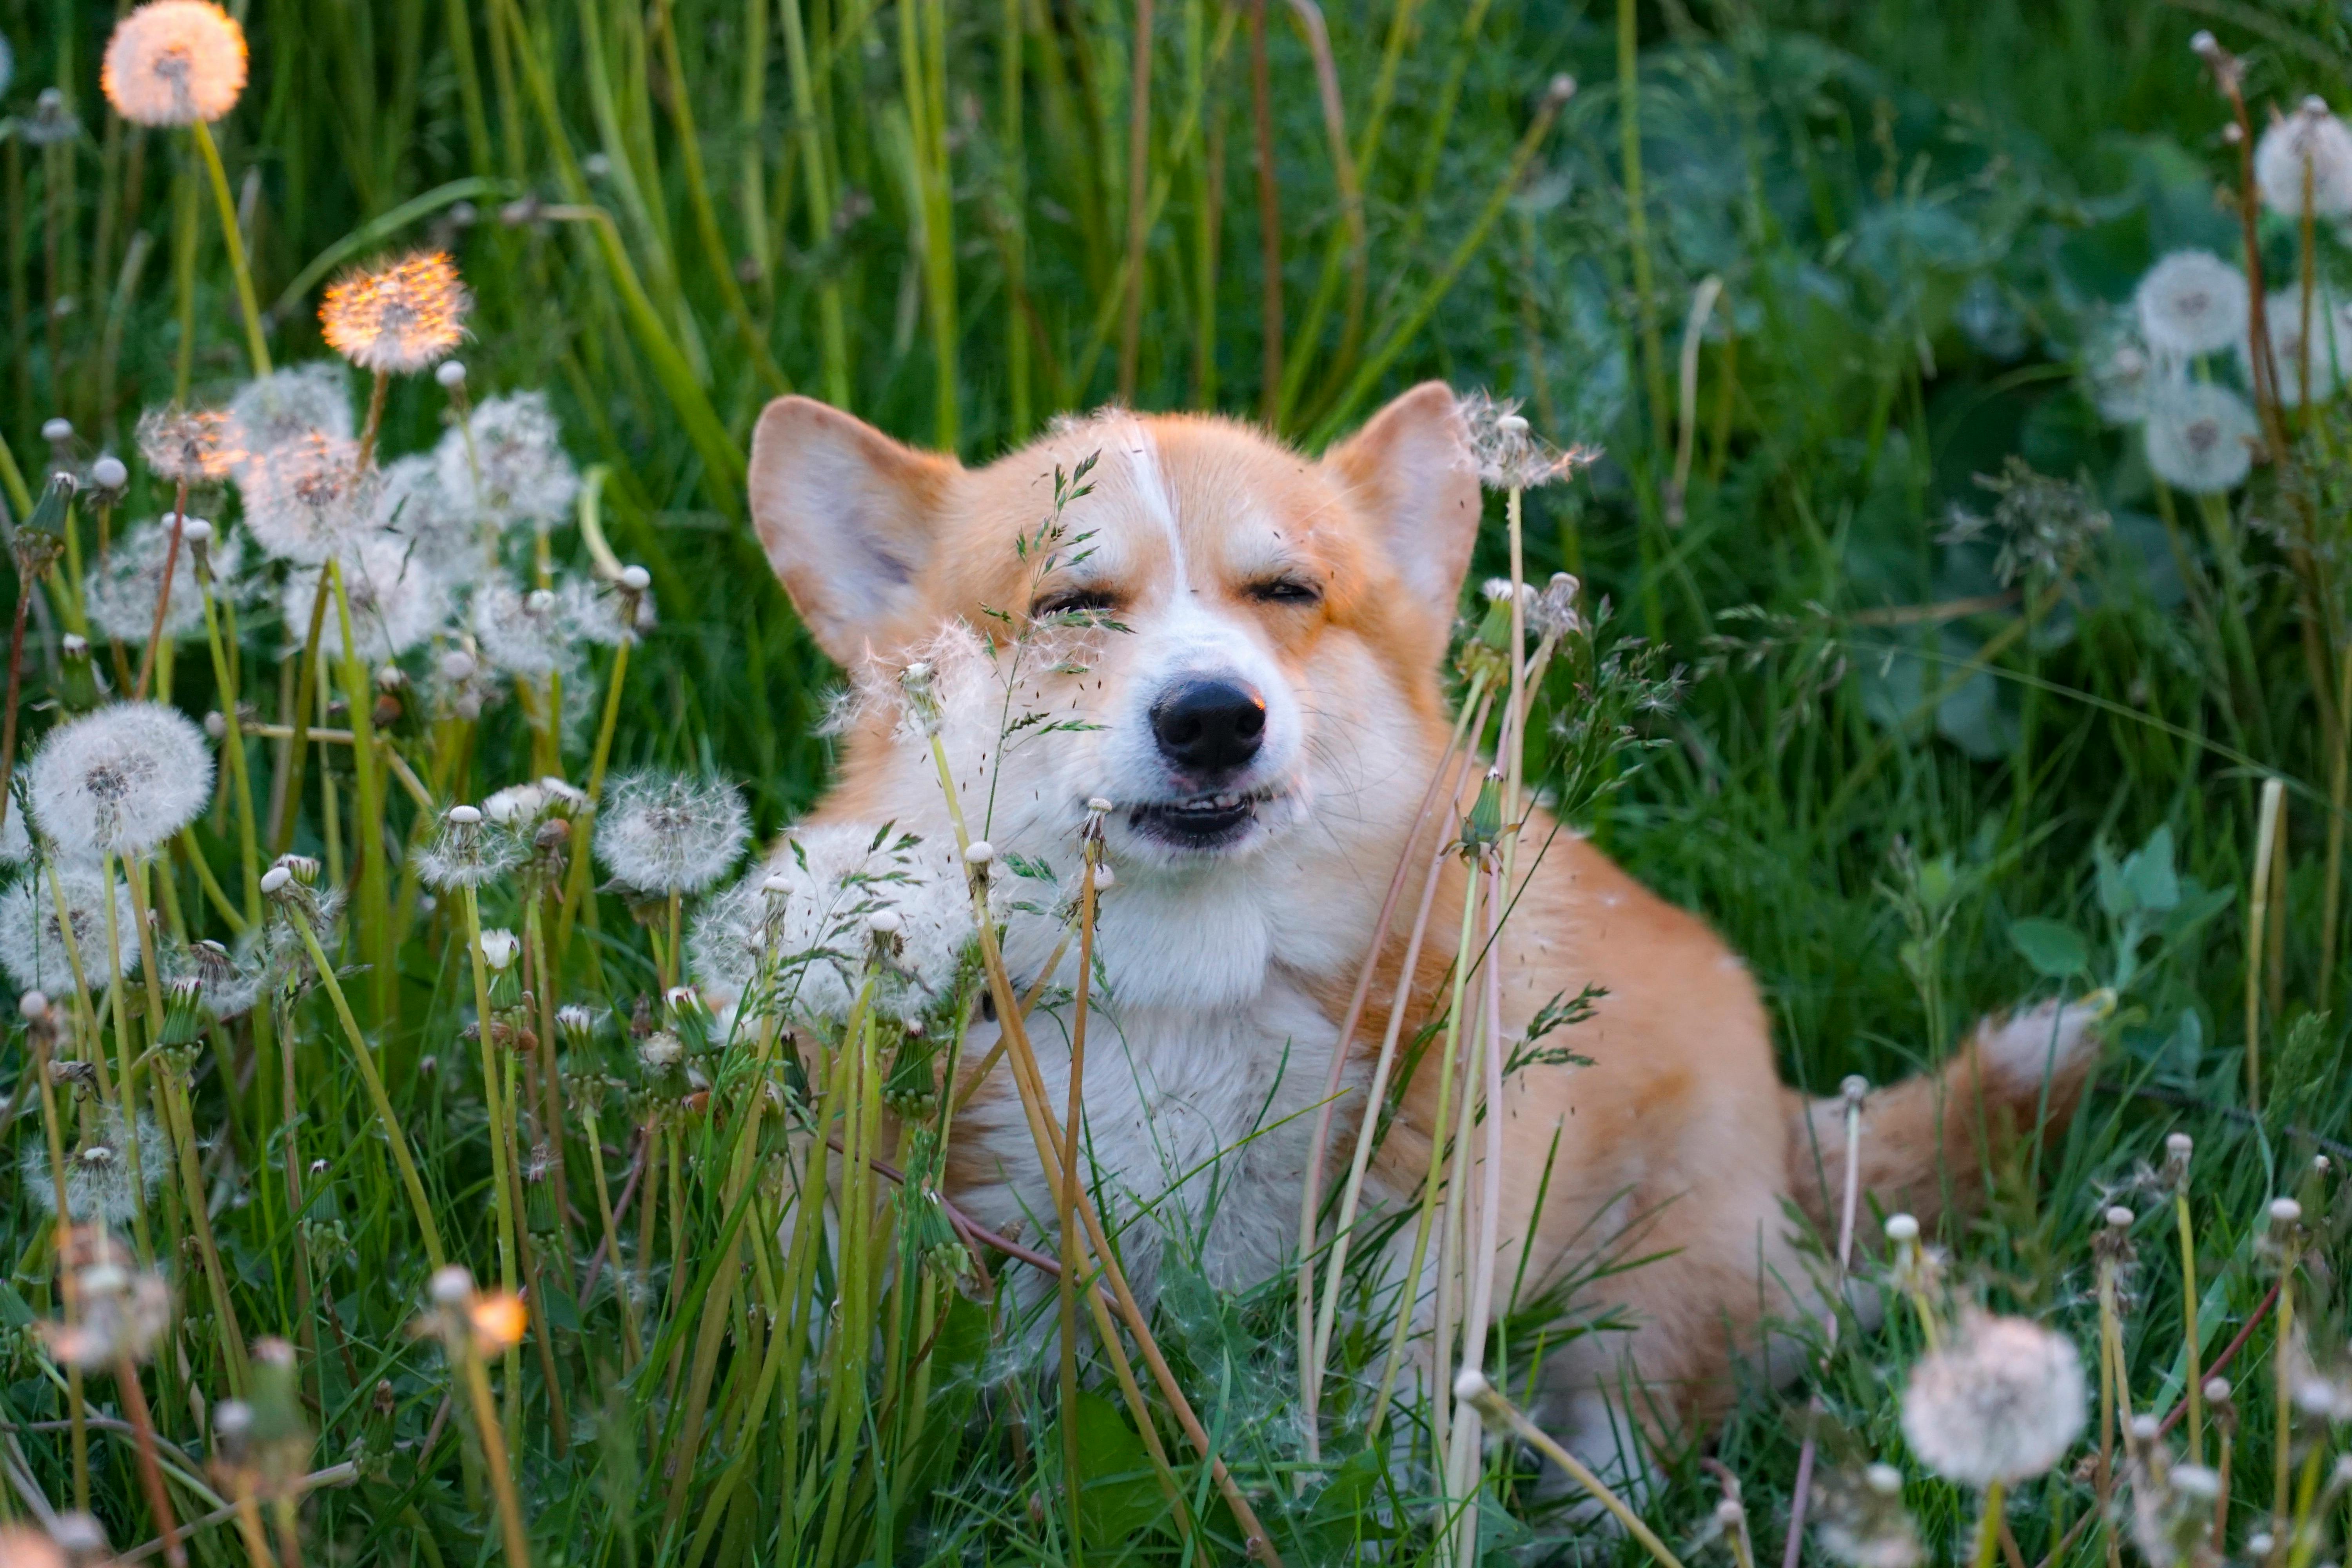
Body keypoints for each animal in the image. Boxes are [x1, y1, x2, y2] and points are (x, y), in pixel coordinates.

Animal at [743, 385, 2107, 1476]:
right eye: (1071, 601)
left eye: (1288, 590)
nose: (1211, 718)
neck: (1192, 993)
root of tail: (1786, 1117)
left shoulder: (1412, 1275)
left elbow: (1387, 1446)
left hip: (1652, 1303)